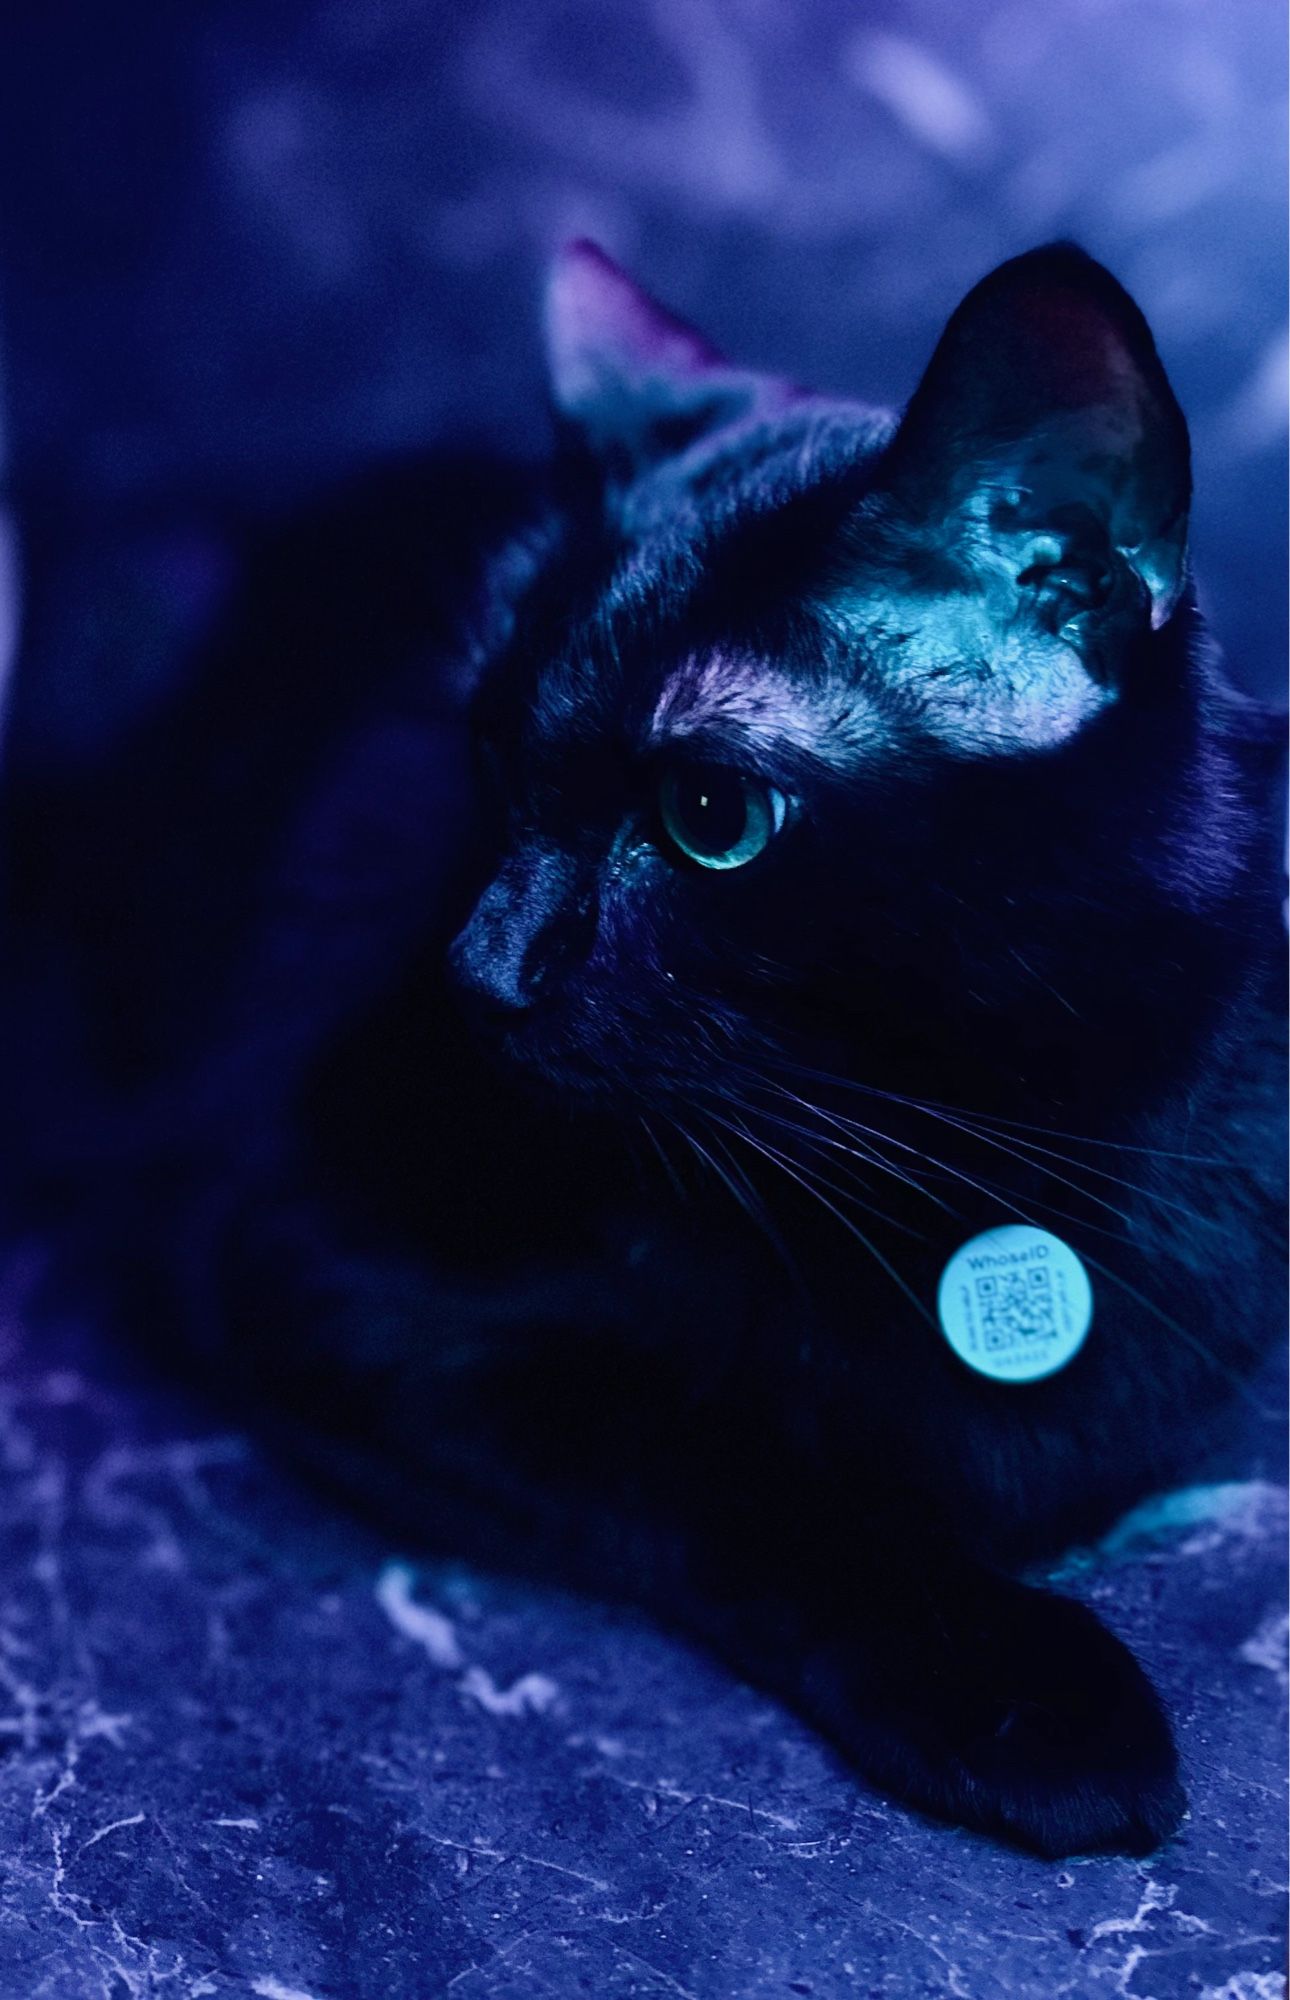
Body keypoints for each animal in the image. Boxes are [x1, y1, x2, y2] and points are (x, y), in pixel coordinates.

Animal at [7, 242, 1280, 1848]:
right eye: (487, 755)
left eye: (710, 818)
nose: (474, 971)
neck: (965, 1163)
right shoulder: (307, 1251)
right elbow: (732, 1457)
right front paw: (1024, 1685)